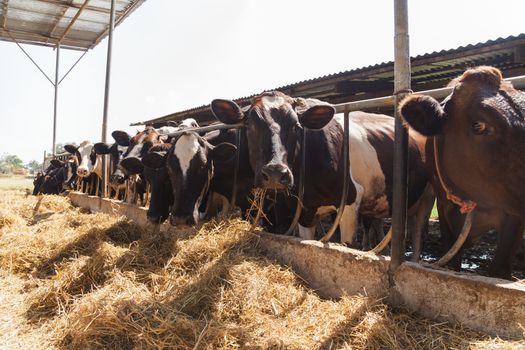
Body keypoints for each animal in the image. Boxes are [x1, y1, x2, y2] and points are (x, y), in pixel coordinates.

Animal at [211, 91, 432, 258]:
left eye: (296, 126)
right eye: (249, 125)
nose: (275, 172)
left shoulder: (351, 199)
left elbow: (346, 244)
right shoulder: (304, 209)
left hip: (426, 197)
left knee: (418, 232)